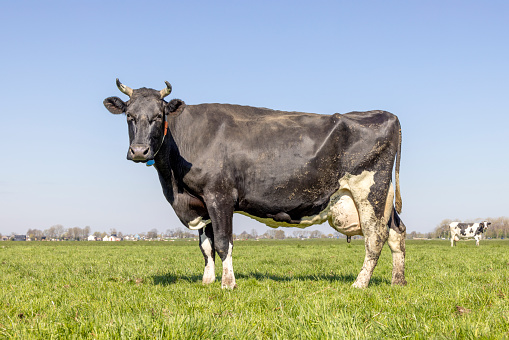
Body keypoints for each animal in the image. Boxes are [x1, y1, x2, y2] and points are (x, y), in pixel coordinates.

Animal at [104, 80, 408, 290]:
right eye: (129, 116)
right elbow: (206, 246)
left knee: (375, 237)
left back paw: (360, 284)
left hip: (369, 191)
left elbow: (223, 242)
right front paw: (207, 281)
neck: (176, 187)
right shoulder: (200, 203)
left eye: (158, 116)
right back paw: (398, 281)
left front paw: (228, 284)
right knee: (397, 232)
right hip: (383, 198)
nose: (139, 151)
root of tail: (388, 115)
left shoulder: (219, 196)